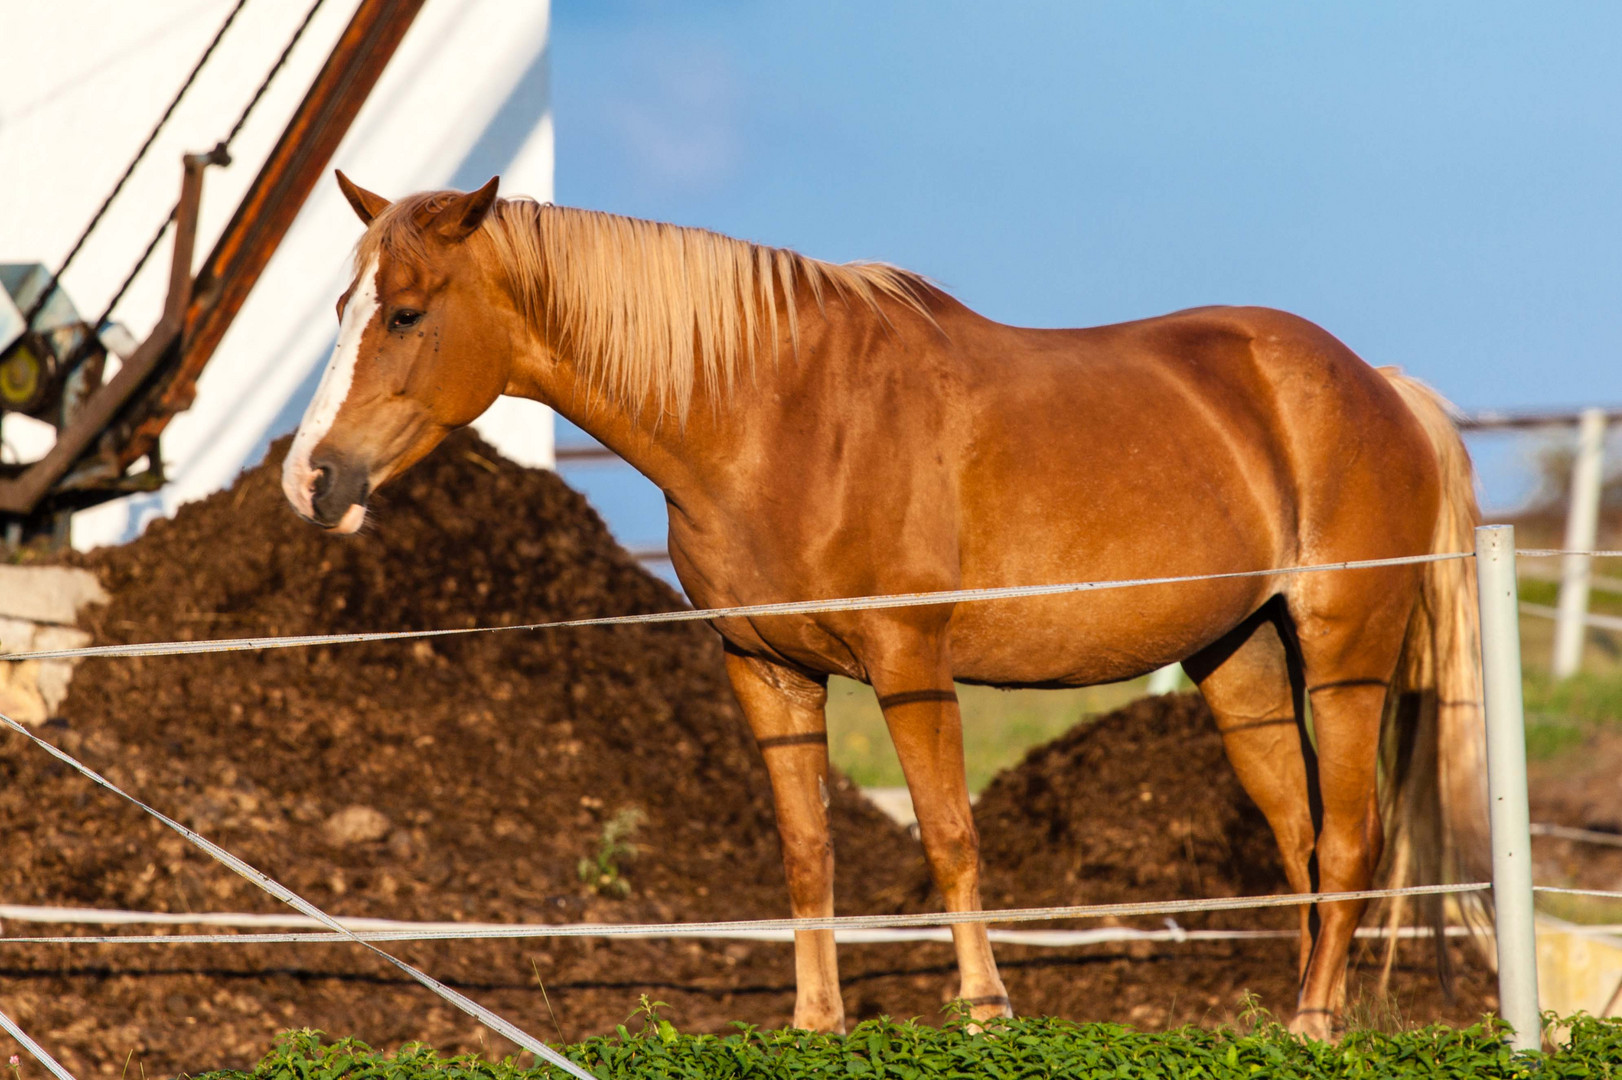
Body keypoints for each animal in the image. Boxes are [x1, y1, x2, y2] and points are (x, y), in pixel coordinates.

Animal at [278, 174, 1485, 1037]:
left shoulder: (909, 662)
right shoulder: (764, 668)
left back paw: (1317, 1023)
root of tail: (1374, 384)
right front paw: (818, 1022)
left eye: (404, 314)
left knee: (1351, 839)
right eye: (337, 306)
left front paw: (986, 1012)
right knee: (1300, 837)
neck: (772, 411)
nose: (310, 481)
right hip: (1238, 660)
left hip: (1342, 654)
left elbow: (949, 837)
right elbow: (806, 848)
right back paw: (1299, 1011)